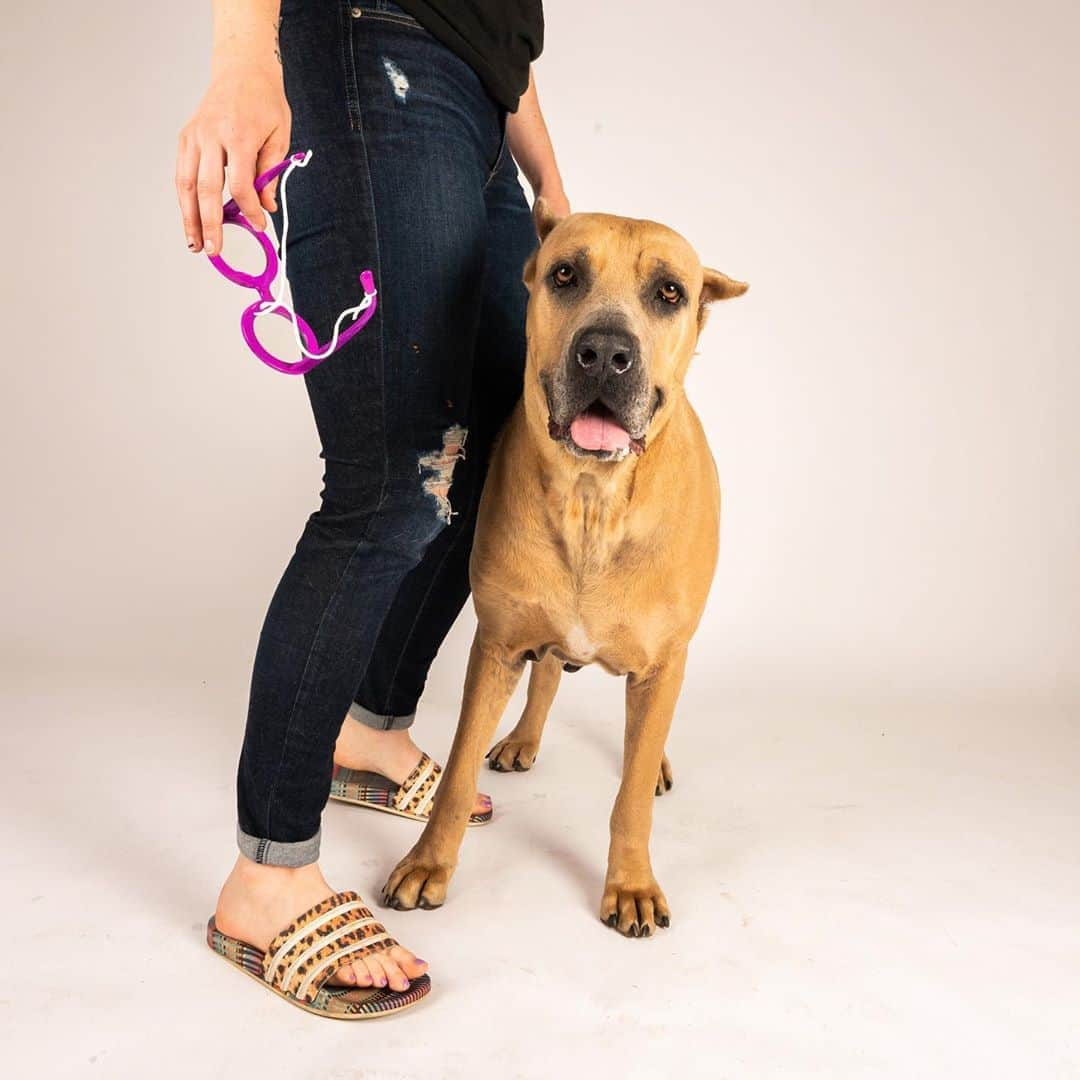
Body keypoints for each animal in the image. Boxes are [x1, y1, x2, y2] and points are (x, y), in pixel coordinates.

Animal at [384, 200, 747, 937]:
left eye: (670, 292)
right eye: (564, 274)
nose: (606, 352)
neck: (592, 502)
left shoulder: (663, 662)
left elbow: (630, 795)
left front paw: (630, 883)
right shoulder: (495, 645)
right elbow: (458, 775)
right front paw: (429, 863)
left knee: (641, 733)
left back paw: (652, 760)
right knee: (549, 675)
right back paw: (522, 739)